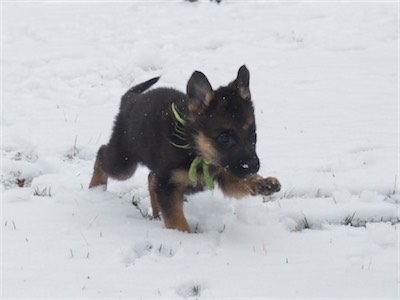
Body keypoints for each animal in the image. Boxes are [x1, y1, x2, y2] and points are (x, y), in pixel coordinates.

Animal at [90, 65, 282, 232]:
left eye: (253, 135)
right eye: (224, 138)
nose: (254, 166)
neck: (195, 149)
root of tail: (129, 101)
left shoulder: (225, 173)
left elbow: (241, 181)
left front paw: (264, 183)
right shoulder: (168, 184)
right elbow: (176, 219)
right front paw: (183, 237)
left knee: (151, 177)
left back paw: (156, 214)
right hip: (123, 164)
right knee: (102, 152)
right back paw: (96, 189)